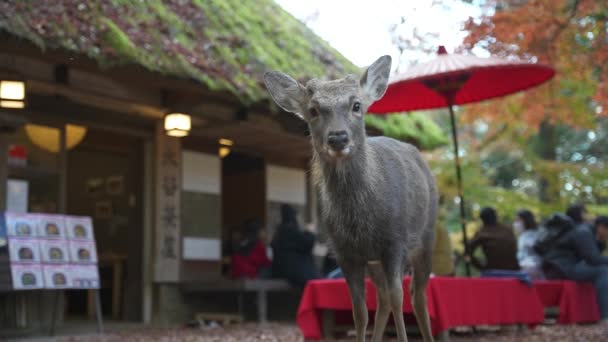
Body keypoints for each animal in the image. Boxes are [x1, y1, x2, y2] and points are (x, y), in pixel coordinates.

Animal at [264, 54, 436, 340]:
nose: (338, 137)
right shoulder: (345, 252)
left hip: (426, 235)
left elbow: (399, 298)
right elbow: (359, 311)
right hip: (375, 260)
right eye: (313, 110)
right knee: (383, 299)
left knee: (416, 296)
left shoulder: (395, 242)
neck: (360, 222)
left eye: (356, 105)